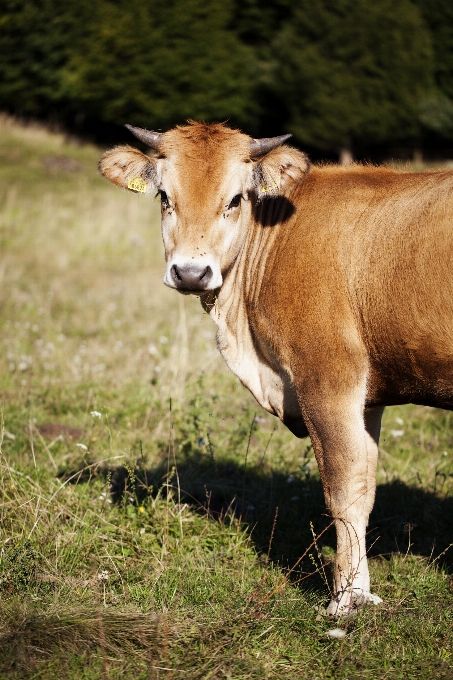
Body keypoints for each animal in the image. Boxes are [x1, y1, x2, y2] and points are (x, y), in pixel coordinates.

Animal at [100, 121, 453, 616]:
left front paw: (344, 601)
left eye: (235, 199)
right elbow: (365, 488)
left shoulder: (326, 377)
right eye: (165, 196)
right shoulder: (367, 397)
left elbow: (343, 489)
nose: (190, 272)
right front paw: (363, 593)